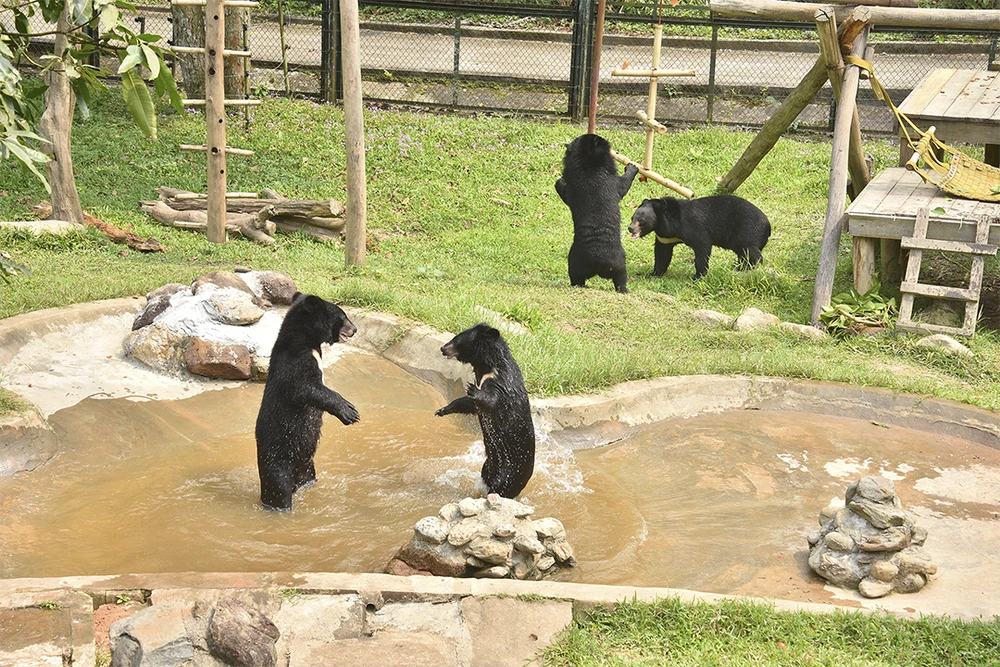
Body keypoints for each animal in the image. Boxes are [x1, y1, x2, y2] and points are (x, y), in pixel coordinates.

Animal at [254, 292, 360, 512]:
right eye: (343, 317)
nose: (354, 330)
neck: (307, 341)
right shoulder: (295, 362)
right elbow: (308, 388)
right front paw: (350, 412)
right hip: (277, 460)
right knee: (279, 489)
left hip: (307, 465)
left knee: (308, 477)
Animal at [434, 320, 536, 498]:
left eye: (457, 340)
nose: (442, 348)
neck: (486, 367)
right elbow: (468, 404)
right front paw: (441, 410)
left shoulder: (500, 382)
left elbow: (491, 401)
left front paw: (471, 388)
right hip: (488, 465)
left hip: (509, 473)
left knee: (500, 488)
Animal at [560, 133, 636, 292]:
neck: (590, 165)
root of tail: (597, 262)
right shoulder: (615, 183)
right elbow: (624, 184)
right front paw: (632, 167)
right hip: (618, 264)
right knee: (620, 279)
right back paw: (625, 290)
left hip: (576, 263)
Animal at [624, 193, 772, 280]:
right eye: (632, 218)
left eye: (641, 220)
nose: (631, 228)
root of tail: (768, 226)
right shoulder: (665, 237)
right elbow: (662, 254)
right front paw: (653, 274)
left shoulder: (692, 227)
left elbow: (702, 246)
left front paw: (697, 276)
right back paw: (738, 265)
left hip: (746, 232)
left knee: (749, 250)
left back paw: (745, 267)